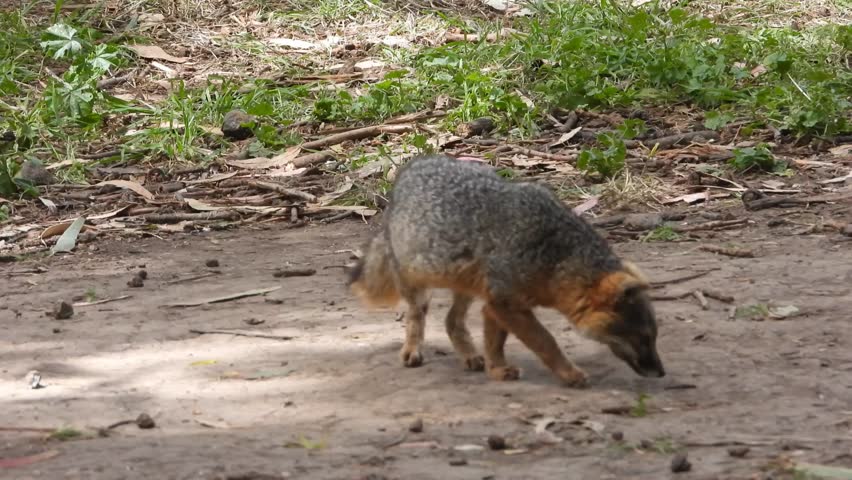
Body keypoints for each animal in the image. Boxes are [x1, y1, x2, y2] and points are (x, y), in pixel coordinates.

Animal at [346, 153, 665, 387]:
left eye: (653, 337)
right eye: (643, 338)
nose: (662, 372)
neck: (553, 254)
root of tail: (410, 169)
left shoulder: (496, 302)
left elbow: (495, 342)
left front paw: (496, 369)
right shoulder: (506, 302)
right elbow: (545, 341)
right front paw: (569, 374)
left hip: (467, 286)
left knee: (451, 321)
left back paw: (470, 356)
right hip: (418, 286)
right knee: (417, 314)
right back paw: (413, 350)